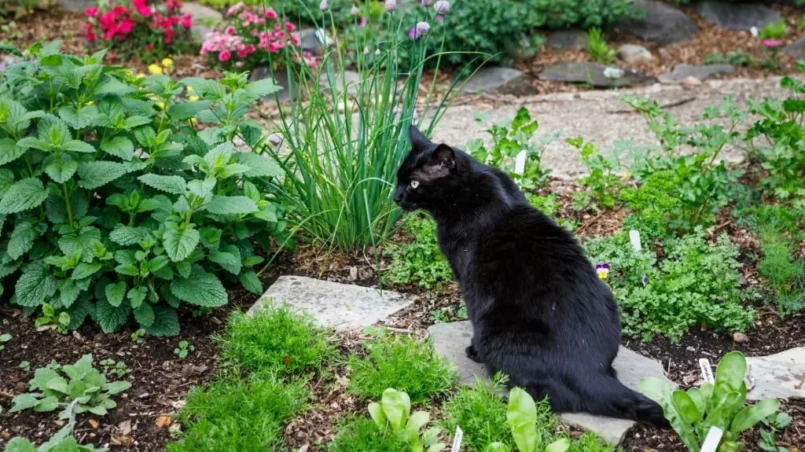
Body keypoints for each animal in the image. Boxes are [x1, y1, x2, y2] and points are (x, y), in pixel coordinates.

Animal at [394, 125, 664, 426]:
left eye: (413, 184)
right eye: (398, 179)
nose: (395, 197)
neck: (470, 185)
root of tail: (593, 372)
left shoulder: (468, 281)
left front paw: (472, 350)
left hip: (497, 331)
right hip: (608, 298)